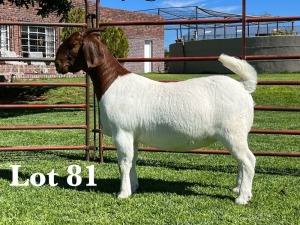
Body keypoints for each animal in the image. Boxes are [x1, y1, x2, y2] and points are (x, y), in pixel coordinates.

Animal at [55, 29, 256, 205]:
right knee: (241, 161)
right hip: (237, 134)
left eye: (73, 44)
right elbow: (133, 160)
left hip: (233, 132)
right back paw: (238, 189)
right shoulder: (133, 135)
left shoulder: (122, 132)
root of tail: (244, 87)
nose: (57, 64)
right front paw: (134, 186)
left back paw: (242, 198)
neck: (112, 82)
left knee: (248, 160)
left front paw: (123, 193)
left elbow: (124, 163)